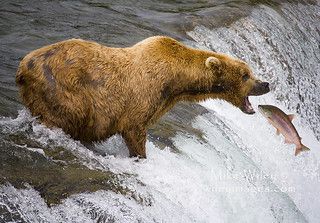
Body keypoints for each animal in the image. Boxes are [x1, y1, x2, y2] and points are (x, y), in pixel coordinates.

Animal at [15, 36, 270, 158]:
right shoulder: (142, 96)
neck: (177, 81)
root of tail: (23, 66)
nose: (265, 84)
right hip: (63, 91)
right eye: (246, 75)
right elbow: (135, 130)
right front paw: (140, 156)